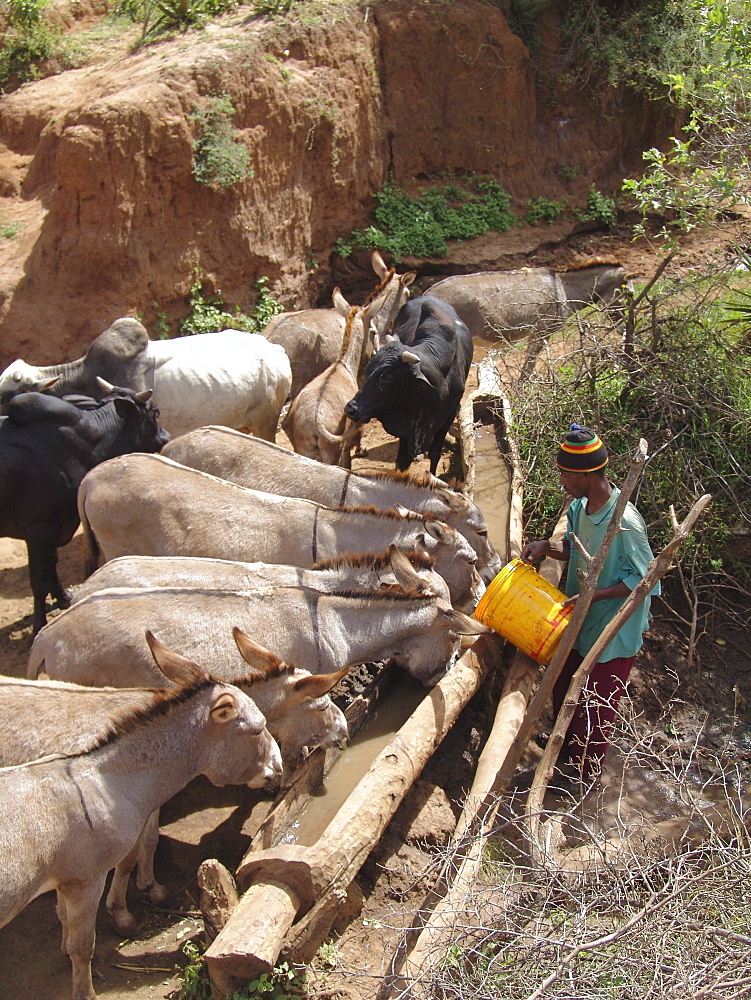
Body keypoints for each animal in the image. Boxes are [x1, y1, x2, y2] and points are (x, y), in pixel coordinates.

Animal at [1, 384, 169, 628]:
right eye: (155, 413)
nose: (166, 436)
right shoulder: (38, 529)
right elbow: (39, 581)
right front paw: (39, 624)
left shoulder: (55, 526)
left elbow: (52, 565)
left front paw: (63, 597)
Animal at [346, 294, 472, 474]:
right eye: (369, 369)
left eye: (387, 377)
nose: (351, 409)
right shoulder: (406, 428)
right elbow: (403, 461)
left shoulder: (449, 414)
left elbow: (435, 453)